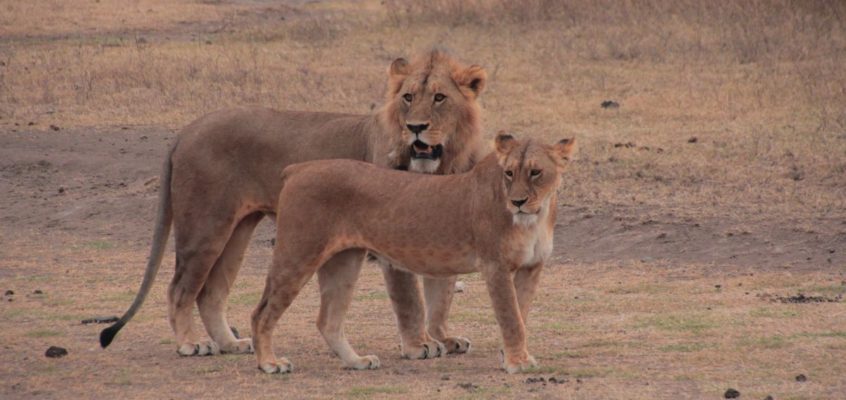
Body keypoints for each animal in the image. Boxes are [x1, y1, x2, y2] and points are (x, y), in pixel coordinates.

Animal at [101, 50, 490, 360]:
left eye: (439, 98)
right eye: (408, 97)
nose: (415, 127)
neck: (440, 164)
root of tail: (187, 129)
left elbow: (441, 294)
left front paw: (445, 338)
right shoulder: (392, 229)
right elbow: (410, 298)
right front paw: (418, 345)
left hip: (238, 230)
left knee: (210, 292)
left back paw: (231, 343)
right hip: (205, 227)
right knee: (180, 288)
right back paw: (190, 344)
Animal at [252, 134, 576, 372]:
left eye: (536, 172)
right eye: (508, 173)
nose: (517, 202)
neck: (536, 216)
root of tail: (299, 168)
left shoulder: (531, 267)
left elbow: (521, 314)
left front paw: (509, 355)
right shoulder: (495, 266)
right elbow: (511, 318)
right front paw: (518, 363)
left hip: (345, 262)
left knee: (328, 321)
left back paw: (358, 362)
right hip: (298, 254)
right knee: (261, 313)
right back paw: (270, 363)